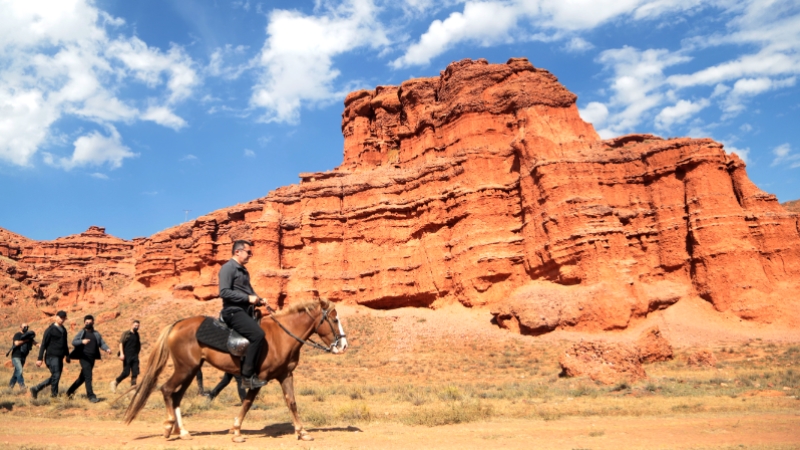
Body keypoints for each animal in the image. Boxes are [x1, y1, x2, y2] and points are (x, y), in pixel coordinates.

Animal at [122, 298, 346, 442]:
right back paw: (169, 426)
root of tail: (177, 324)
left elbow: (291, 402)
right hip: (185, 369)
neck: (281, 336)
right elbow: (247, 402)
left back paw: (182, 431)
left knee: (176, 396)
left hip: (191, 370)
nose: (343, 346)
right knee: (167, 390)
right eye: (334, 320)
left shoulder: (285, 375)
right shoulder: (258, 378)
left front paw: (302, 432)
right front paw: (236, 430)